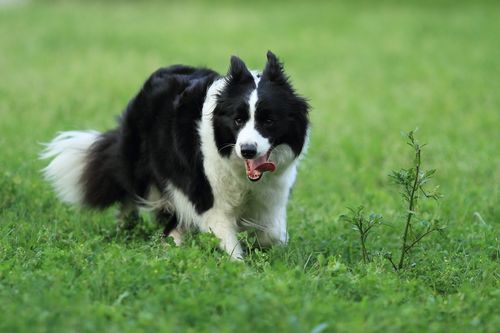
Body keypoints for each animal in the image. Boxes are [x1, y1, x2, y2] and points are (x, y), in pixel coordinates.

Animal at [42, 52, 308, 260]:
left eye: (269, 121)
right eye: (238, 120)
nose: (248, 150)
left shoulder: (271, 199)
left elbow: (272, 234)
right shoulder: (208, 196)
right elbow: (228, 242)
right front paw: (240, 270)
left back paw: (172, 240)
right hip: (142, 167)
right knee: (131, 193)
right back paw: (131, 229)